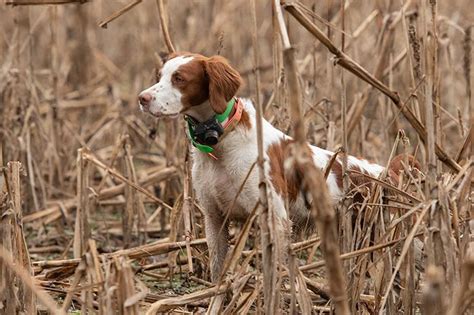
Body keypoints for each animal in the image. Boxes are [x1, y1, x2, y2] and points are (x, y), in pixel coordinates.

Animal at [138, 51, 418, 282]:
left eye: (179, 78)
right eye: (160, 76)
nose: (142, 98)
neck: (222, 141)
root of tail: (383, 172)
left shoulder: (276, 219)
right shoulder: (214, 218)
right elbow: (217, 269)